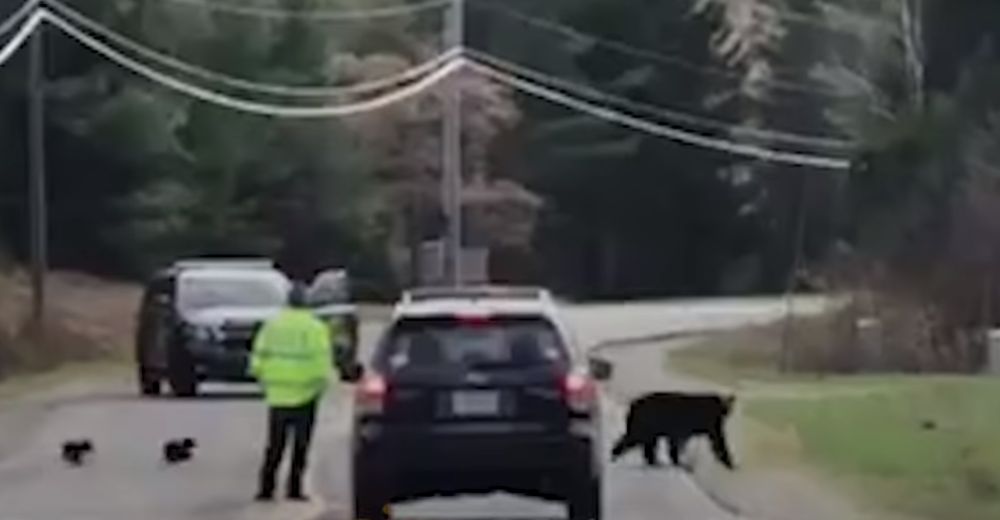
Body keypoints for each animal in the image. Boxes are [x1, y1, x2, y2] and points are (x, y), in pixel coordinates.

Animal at [604, 390, 740, 472]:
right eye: (724, 410)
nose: (727, 411)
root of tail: (632, 405)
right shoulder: (703, 424)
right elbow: (718, 440)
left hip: (648, 429)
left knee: (646, 444)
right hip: (644, 426)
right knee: (635, 439)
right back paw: (615, 455)